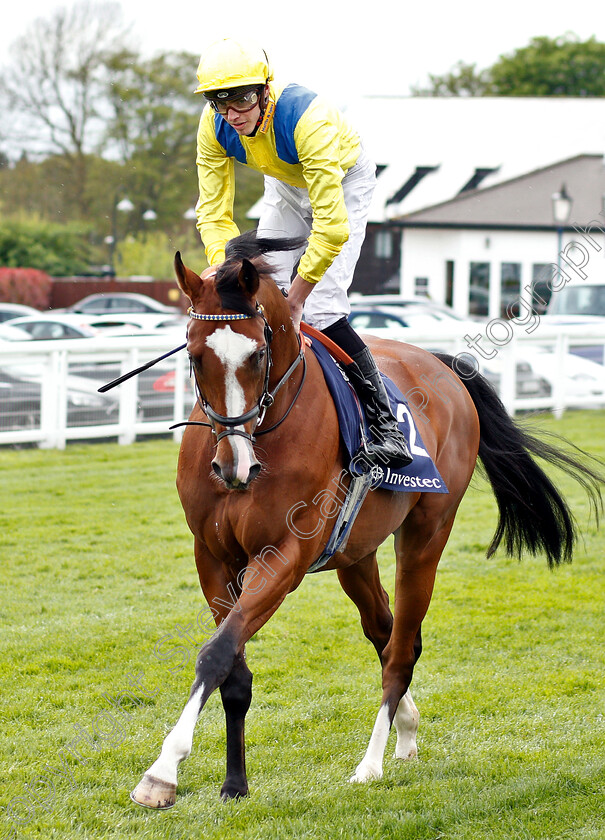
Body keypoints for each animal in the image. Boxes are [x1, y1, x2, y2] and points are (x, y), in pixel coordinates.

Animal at [131, 230, 600, 808]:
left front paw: (161, 772)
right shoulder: (213, 557)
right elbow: (232, 669)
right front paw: (234, 783)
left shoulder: (283, 557)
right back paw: (407, 730)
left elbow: (217, 653)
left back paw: (372, 761)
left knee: (400, 650)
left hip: (425, 538)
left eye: (259, 353)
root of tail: (444, 369)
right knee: (385, 631)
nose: (231, 465)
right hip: (356, 554)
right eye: (196, 357)